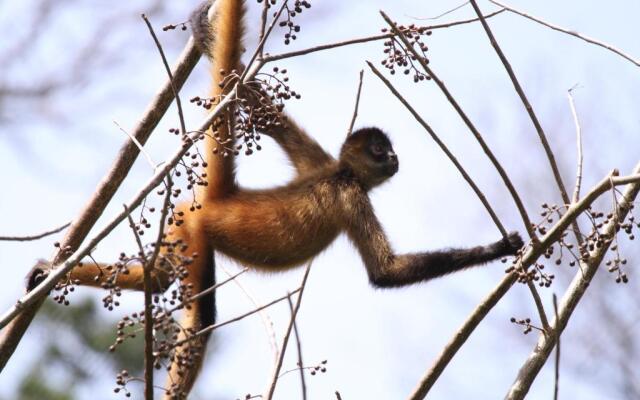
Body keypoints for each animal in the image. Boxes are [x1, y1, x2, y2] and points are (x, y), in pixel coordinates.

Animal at [27, 1, 524, 398]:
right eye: (381, 152)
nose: (396, 158)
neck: (340, 172)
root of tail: (223, 198)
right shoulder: (351, 195)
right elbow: (385, 272)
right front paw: (499, 246)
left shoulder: (317, 159)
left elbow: (258, 104)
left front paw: (202, 31)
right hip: (195, 233)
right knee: (200, 318)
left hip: (180, 223)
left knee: (160, 278)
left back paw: (46, 273)